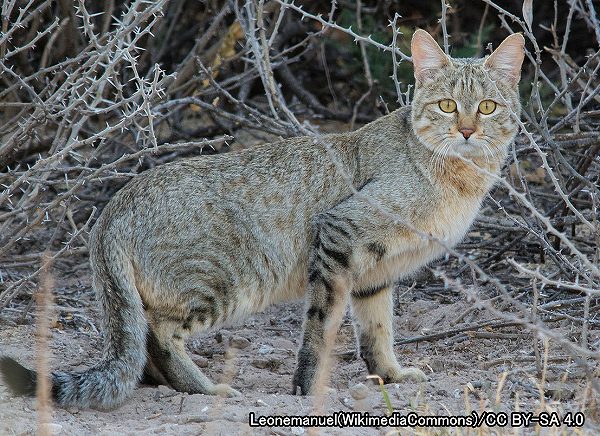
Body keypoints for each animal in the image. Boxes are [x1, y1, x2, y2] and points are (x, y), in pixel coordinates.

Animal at [0, 29, 524, 408]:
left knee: (143, 344)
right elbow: (320, 328)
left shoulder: (376, 272)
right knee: (159, 335)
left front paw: (390, 376)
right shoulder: (340, 233)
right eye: (447, 106)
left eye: (488, 107)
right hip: (222, 280)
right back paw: (206, 390)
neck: (459, 180)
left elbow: (377, 331)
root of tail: (114, 205)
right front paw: (308, 388)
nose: (467, 130)